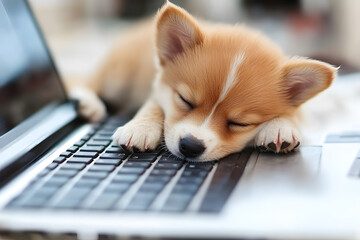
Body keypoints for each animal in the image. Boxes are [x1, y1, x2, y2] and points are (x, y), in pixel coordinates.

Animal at [68, 1, 338, 162]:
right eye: (185, 101)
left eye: (239, 123)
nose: (190, 146)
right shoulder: (158, 88)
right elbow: (154, 106)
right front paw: (140, 128)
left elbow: (294, 114)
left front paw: (280, 126)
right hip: (118, 77)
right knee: (89, 80)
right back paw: (88, 102)